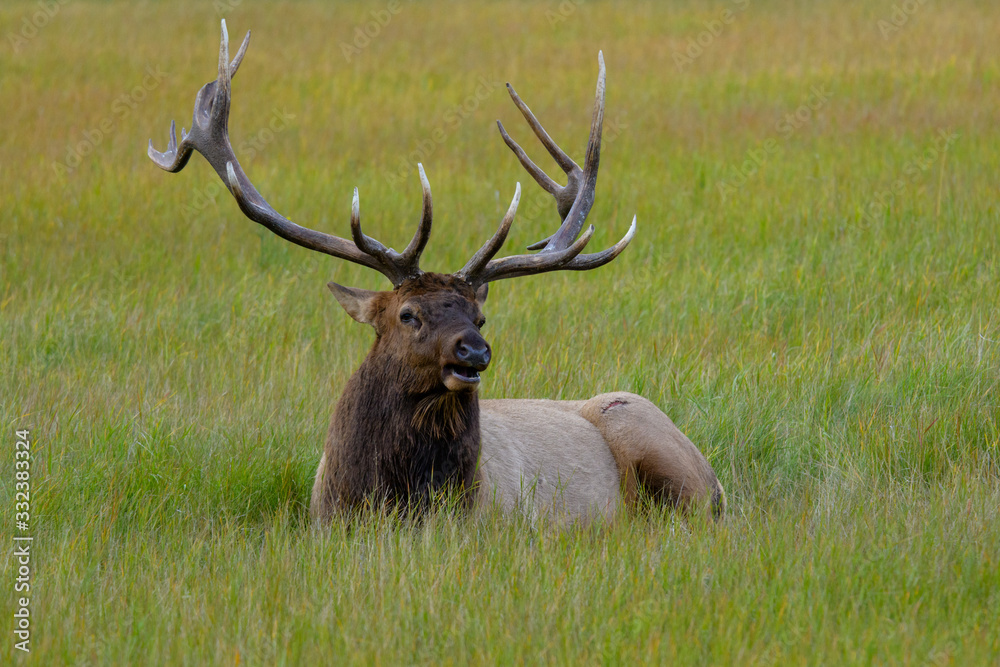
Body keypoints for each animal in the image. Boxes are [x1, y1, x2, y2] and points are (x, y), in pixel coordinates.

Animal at [149, 21, 726, 524]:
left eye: (480, 317)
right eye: (407, 314)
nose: (473, 351)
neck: (387, 501)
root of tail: (716, 477)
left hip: (657, 443)